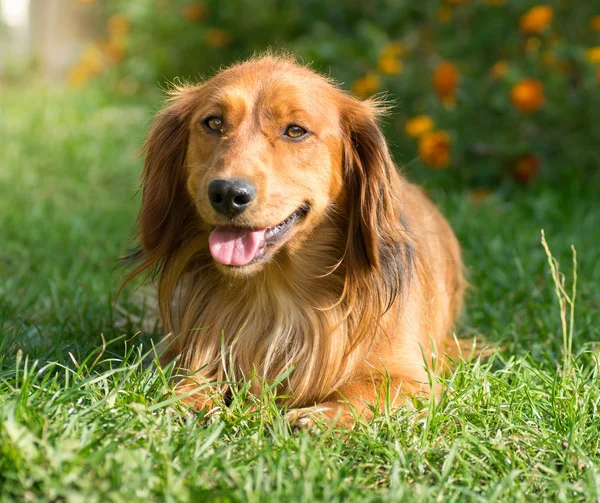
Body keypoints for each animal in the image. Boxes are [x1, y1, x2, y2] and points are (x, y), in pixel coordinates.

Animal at [124, 54, 466, 426]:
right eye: (214, 123)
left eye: (295, 131)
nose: (228, 193)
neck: (275, 293)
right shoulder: (180, 348)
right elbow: (186, 377)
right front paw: (188, 400)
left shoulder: (413, 379)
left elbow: (364, 390)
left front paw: (320, 417)